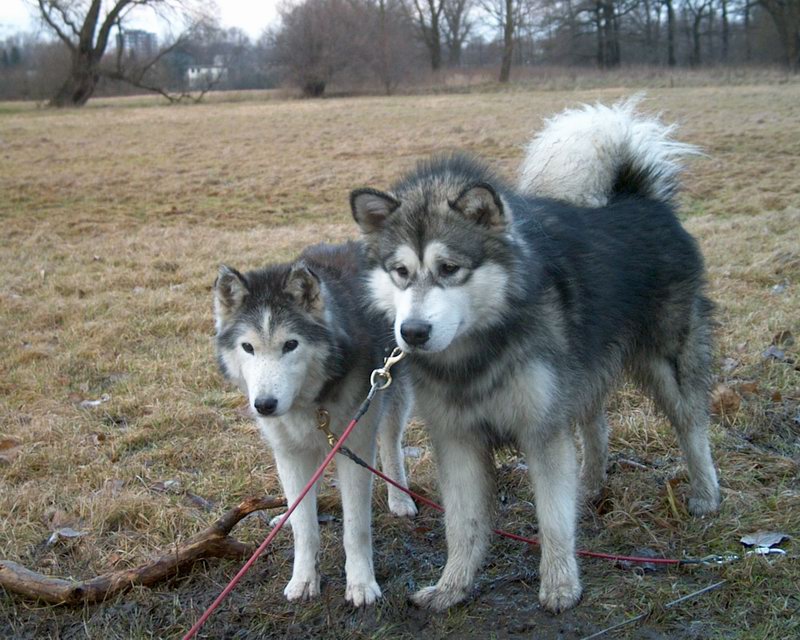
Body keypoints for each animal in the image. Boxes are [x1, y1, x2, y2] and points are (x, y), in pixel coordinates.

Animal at [212, 242, 416, 608]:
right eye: (247, 347)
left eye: (290, 344)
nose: (264, 405)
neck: (310, 401)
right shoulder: (289, 453)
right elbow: (304, 527)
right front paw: (304, 579)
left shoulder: (355, 442)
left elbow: (356, 528)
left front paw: (361, 583)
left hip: (391, 387)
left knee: (391, 441)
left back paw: (401, 499)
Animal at [348, 99, 720, 608]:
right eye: (400, 272)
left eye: (450, 268)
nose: (414, 333)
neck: (477, 353)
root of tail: (639, 199)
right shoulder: (458, 438)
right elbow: (462, 524)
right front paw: (452, 586)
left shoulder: (541, 430)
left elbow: (553, 518)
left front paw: (560, 583)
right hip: (580, 371)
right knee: (594, 423)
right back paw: (590, 484)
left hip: (668, 362)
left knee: (691, 424)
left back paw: (705, 493)